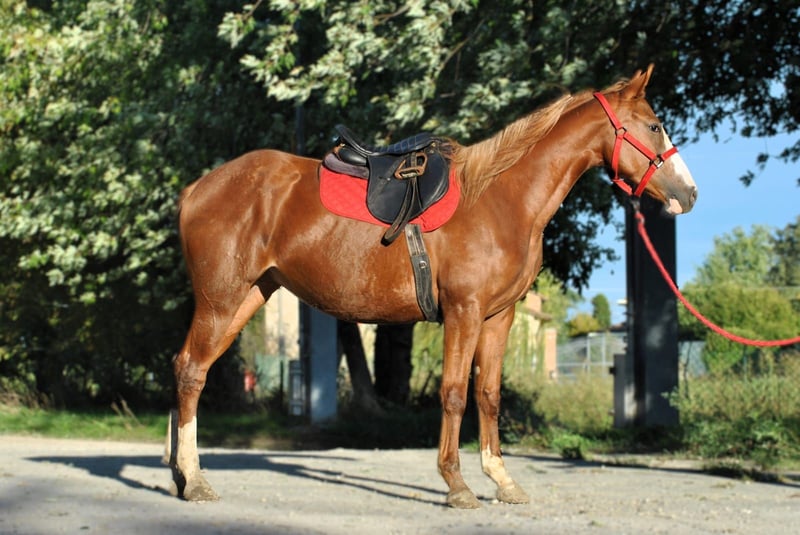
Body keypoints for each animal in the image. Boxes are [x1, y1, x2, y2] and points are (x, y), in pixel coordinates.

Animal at [166, 64, 697, 509]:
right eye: (654, 126)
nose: (688, 194)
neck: (502, 199)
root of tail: (197, 189)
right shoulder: (464, 311)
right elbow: (455, 393)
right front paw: (457, 485)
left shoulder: (498, 316)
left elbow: (488, 395)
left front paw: (502, 480)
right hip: (220, 299)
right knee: (192, 371)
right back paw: (195, 480)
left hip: (248, 297)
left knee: (190, 368)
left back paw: (179, 474)